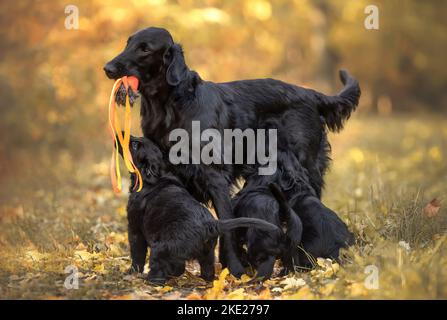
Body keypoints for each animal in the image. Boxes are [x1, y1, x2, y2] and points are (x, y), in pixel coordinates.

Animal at [119, 134, 282, 282]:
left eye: (134, 145)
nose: (121, 133)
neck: (157, 177)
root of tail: (211, 225)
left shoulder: (135, 228)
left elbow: (137, 254)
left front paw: (132, 272)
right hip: (207, 253)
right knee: (204, 270)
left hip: (161, 247)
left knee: (164, 268)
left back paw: (151, 279)